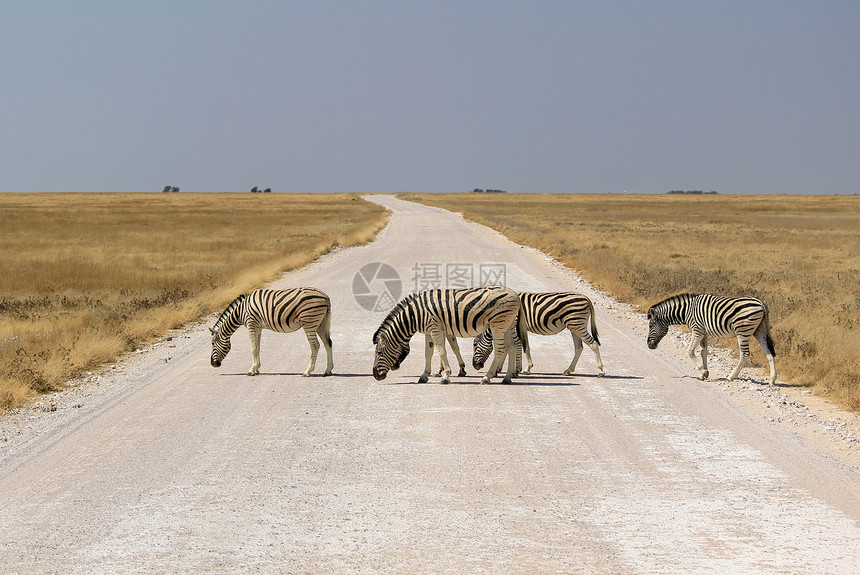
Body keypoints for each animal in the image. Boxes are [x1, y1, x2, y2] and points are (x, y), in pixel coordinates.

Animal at [372, 286, 520, 384]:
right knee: (512, 348)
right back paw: (507, 378)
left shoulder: (435, 328)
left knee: (501, 350)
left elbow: (442, 351)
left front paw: (446, 376)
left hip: (498, 325)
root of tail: (515, 294)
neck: (415, 315)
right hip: (508, 325)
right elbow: (429, 353)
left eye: (379, 353)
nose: (375, 376)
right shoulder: (430, 331)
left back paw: (487, 377)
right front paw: (424, 375)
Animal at [470, 292, 604, 378]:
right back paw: (568, 370)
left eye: (474, 344)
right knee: (579, 347)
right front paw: (504, 368)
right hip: (574, 326)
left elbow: (516, 345)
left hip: (577, 324)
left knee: (593, 343)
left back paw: (600, 371)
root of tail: (585, 297)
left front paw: (519, 369)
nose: (475, 366)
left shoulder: (514, 325)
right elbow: (521, 346)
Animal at [644, 294, 780, 384]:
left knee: (745, 354)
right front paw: (704, 373)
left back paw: (731, 376)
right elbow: (703, 352)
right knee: (768, 353)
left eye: (650, 326)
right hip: (759, 330)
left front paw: (703, 371)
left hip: (743, 330)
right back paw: (772, 379)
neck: (686, 311)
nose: (649, 345)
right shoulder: (704, 333)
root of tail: (761, 303)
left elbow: (690, 351)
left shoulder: (697, 330)